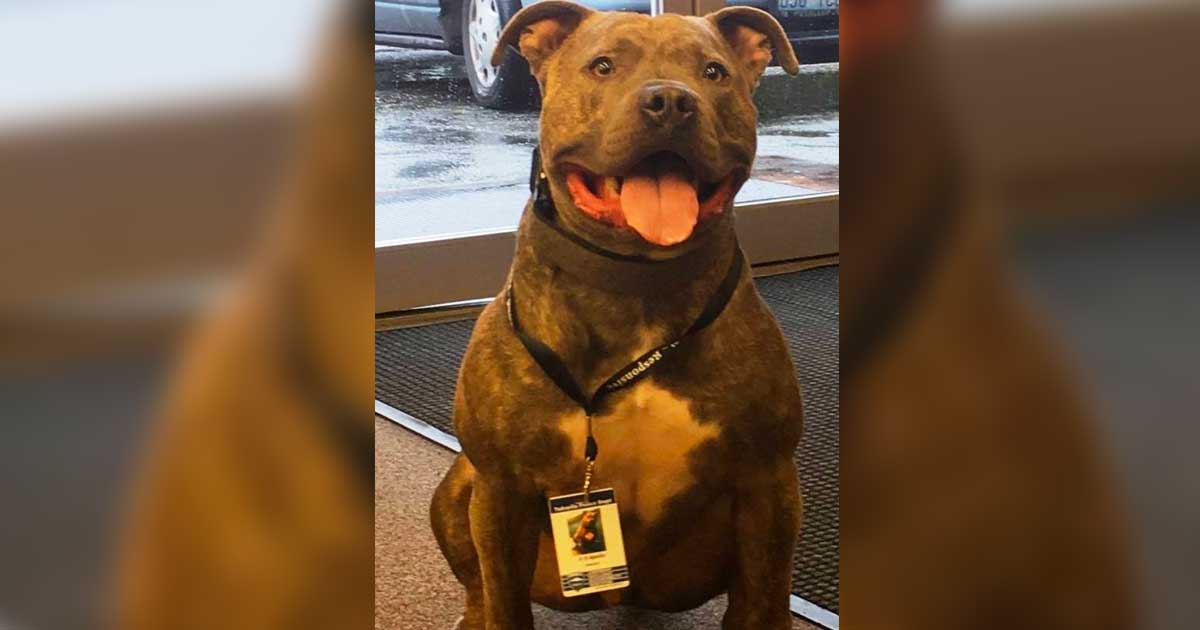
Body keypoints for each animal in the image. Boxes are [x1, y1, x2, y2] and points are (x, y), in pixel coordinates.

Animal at [429, 3, 805, 629]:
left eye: (714, 72)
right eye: (603, 66)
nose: (670, 101)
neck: (636, 282)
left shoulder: (768, 486)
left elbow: (764, 600)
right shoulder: (501, 489)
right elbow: (504, 597)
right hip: (460, 487)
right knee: (477, 584)